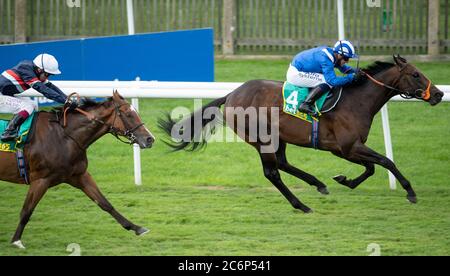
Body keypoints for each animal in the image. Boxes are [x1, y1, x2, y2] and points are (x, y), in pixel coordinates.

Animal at [0, 91, 155, 249]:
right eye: (128, 114)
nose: (150, 139)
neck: (64, 136)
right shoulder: (40, 180)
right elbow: (26, 211)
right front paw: (16, 240)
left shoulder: (79, 175)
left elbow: (105, 203)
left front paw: (136, 228)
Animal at [160, 54, 444, 213]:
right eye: (416, 74)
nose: (440, 94)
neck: (356, 101)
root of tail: (231, 94)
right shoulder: (347, 147)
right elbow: (386, 161)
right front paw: (410, 192)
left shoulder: (347, 149)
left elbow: (373, 167)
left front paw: (344, 180)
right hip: (262, 139)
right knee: (272, 172)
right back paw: (301, 205)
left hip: (279, 137)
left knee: (283, 163)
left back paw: (318, 184)